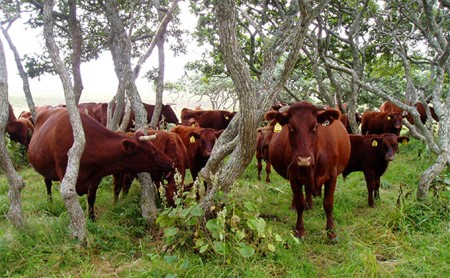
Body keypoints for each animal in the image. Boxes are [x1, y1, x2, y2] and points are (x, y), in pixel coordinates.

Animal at [27, 107, 173, 220]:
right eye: (152, 152)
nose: (170, 163)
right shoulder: (64, 174)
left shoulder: (96, 176)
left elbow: (91, 198)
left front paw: (92, 218)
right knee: (48, 184)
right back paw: (50, 201)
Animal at [266, 101, 350, 239]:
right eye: (291, 128)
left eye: (315, 127)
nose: (304, 159)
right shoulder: (294, 175)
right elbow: (300, 202)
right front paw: (300, 230)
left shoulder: (332, 176)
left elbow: (328, 204)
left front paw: (331, 232)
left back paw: (310, 205)